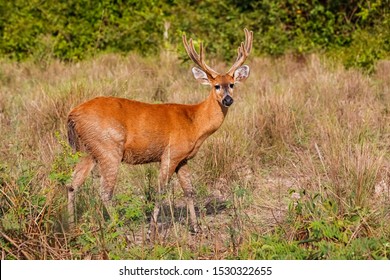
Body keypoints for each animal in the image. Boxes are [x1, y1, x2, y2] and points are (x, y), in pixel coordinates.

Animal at [66, 28, 253, 238]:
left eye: (232, 84)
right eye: (217, 86)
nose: (228, 100)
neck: (194, 122)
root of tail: (73, 114)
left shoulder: (183, 158)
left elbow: (189, 191)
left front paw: (197, 228)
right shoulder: (171, 153)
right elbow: (161, 190)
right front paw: (151, 231)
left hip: (89, 151)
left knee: (72, 184)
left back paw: (71, 226)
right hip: (108, 148)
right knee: (105, 192)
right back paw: (119, 231)